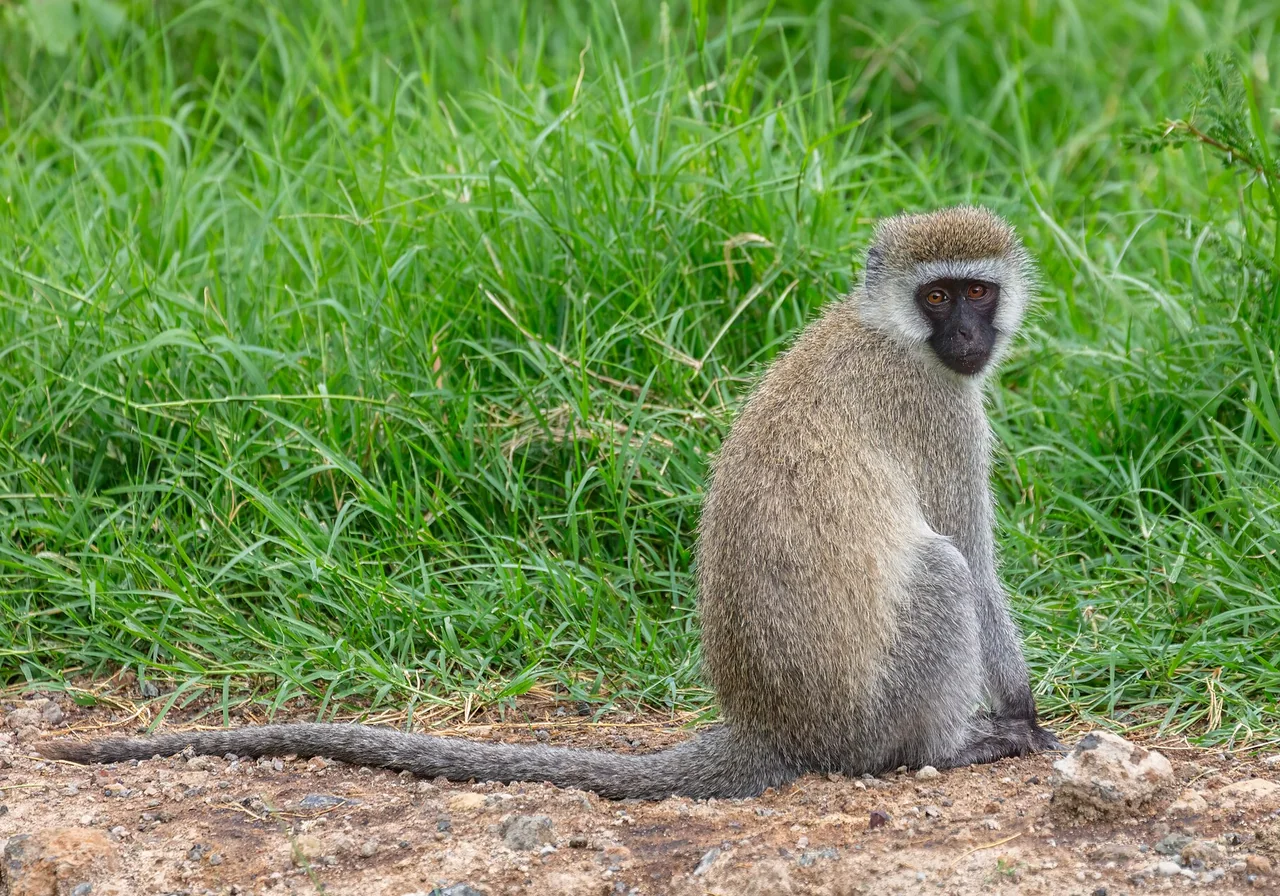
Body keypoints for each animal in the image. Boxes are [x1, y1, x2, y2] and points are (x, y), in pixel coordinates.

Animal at [40, 205, 1064, 800]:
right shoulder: (938, 414)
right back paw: (941, 748)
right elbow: (975, 561)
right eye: (940, 297)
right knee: (940, 574)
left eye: (978, 291)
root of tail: (774, 726)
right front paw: (1023, 714)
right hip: (867, 714)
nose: (968, 337)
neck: (890, 334)